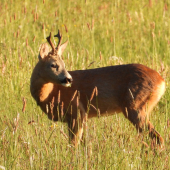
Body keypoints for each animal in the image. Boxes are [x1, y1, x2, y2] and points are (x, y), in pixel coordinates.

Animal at [30, 31, 165, 147]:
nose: (68, 79)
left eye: (63, 64)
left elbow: (73, 145)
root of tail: (162, 81)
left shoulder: (77, 112)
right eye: (53, 65)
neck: (51, 93)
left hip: (136, 106)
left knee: (157, 138)